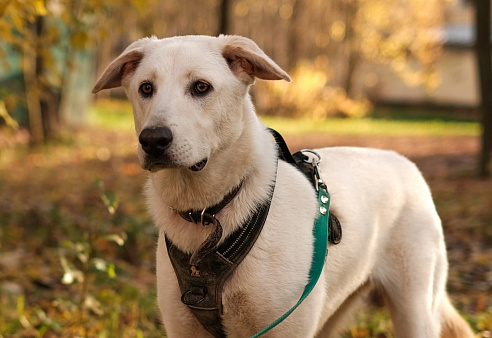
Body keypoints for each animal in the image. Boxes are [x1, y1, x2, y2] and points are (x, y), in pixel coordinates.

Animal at [92, 35, 472, 336]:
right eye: (146, 88)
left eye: (201, 87)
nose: (152, 140)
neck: (208, 212)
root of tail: (403, 161)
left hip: (415, 310)